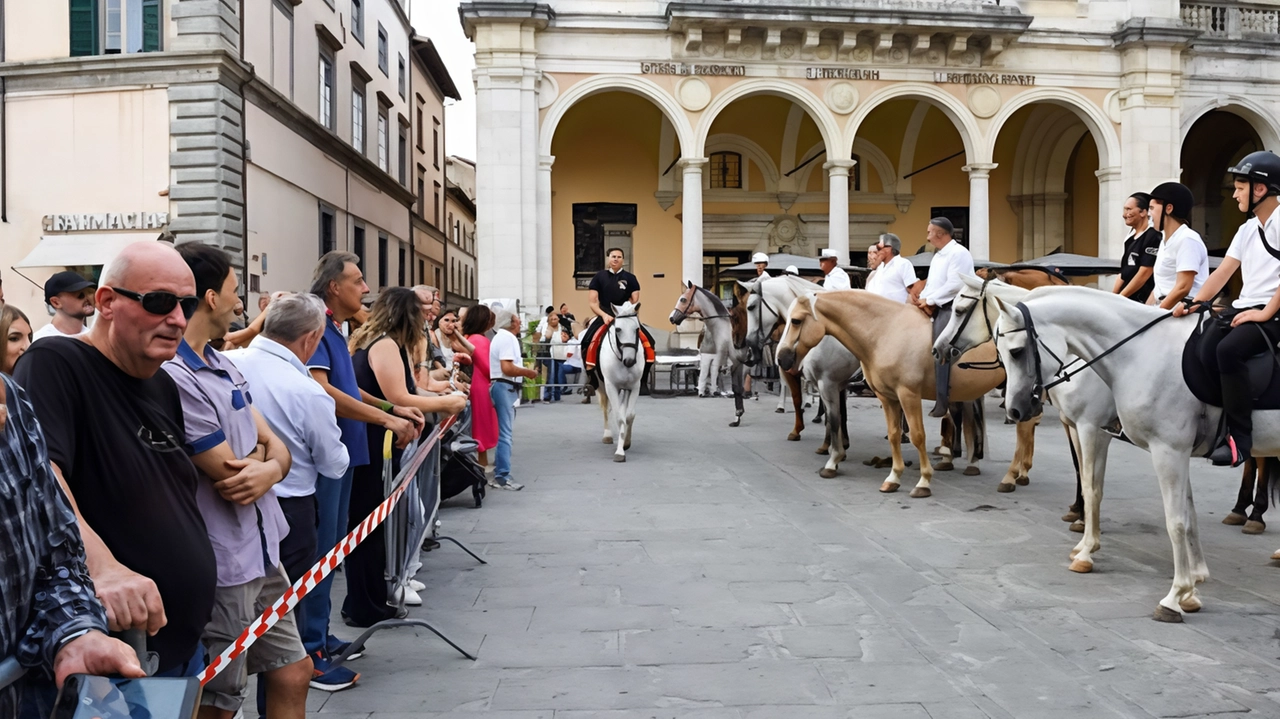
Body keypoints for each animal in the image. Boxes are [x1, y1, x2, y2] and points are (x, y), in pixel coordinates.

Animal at [593, 300, 645, 458]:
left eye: (637, 329)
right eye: (618, 330)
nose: (629, 361)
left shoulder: (634, 387)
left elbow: (628, 415)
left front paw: (626, 443)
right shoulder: (611, 387)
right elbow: (618, 416)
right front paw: (620, 452)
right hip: (601, 386)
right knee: (606, 408)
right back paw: (607, 435)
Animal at [670, 280, 747, 424]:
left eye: (683, 299)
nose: (671, 318)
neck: (725, 327)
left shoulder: (736, 362)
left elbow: (737, 386)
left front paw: (738, 415)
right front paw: (738, 414)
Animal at [773, 287, 1034, 496]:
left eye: (796, 321)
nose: (781, 357)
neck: (885, 332)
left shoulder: (906, 394)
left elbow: (916, 435)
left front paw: (923, 481)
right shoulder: (887, 397)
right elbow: (894, 434)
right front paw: (893, 477)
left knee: (1023, 426)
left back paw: (1011, 475)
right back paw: (1013, 471)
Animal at [936, 273, 1116, 565]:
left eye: (959, 310)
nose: (938, 348)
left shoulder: (1090, 425)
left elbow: (1086, 472)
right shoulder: (1073, 422)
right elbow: (1079, 466)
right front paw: (1079, 514)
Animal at [988, 286, 1218, 621]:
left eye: (1016, 352)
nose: (1015, 410)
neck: (1140, 353)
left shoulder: (1107, 432)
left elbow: (1098, 489)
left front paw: (1175, 595)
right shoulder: (1174, 448)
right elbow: (1187, 512)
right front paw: (1194, 583)